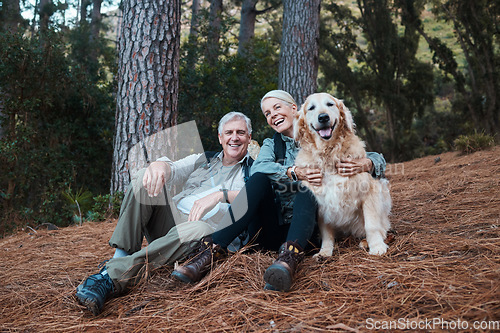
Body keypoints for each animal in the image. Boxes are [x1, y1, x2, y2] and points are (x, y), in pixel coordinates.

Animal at [292, 92, 390, 255]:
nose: (323, 117)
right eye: (311, 108)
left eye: (330, 104)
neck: (329, 154)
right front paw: (325, 252)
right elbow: (326, 233)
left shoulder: (369, 191)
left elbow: (371, 224)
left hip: (383, 187)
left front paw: (376, 246)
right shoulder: (320, 203)